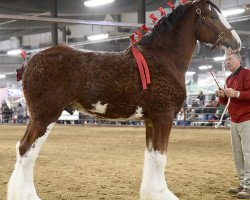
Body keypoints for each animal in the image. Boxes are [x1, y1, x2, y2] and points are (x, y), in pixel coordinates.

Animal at [7, 0, 241, 199]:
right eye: (213, 16)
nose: (236, 42)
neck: (164, 59)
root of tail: (30, 62)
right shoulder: (164, 116)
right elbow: (160, 157)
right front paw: (162, 194)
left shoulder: (151, 120)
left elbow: (151, 155)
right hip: (45, 116)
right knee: (27, 150)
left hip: (37, 117)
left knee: (20, 148)